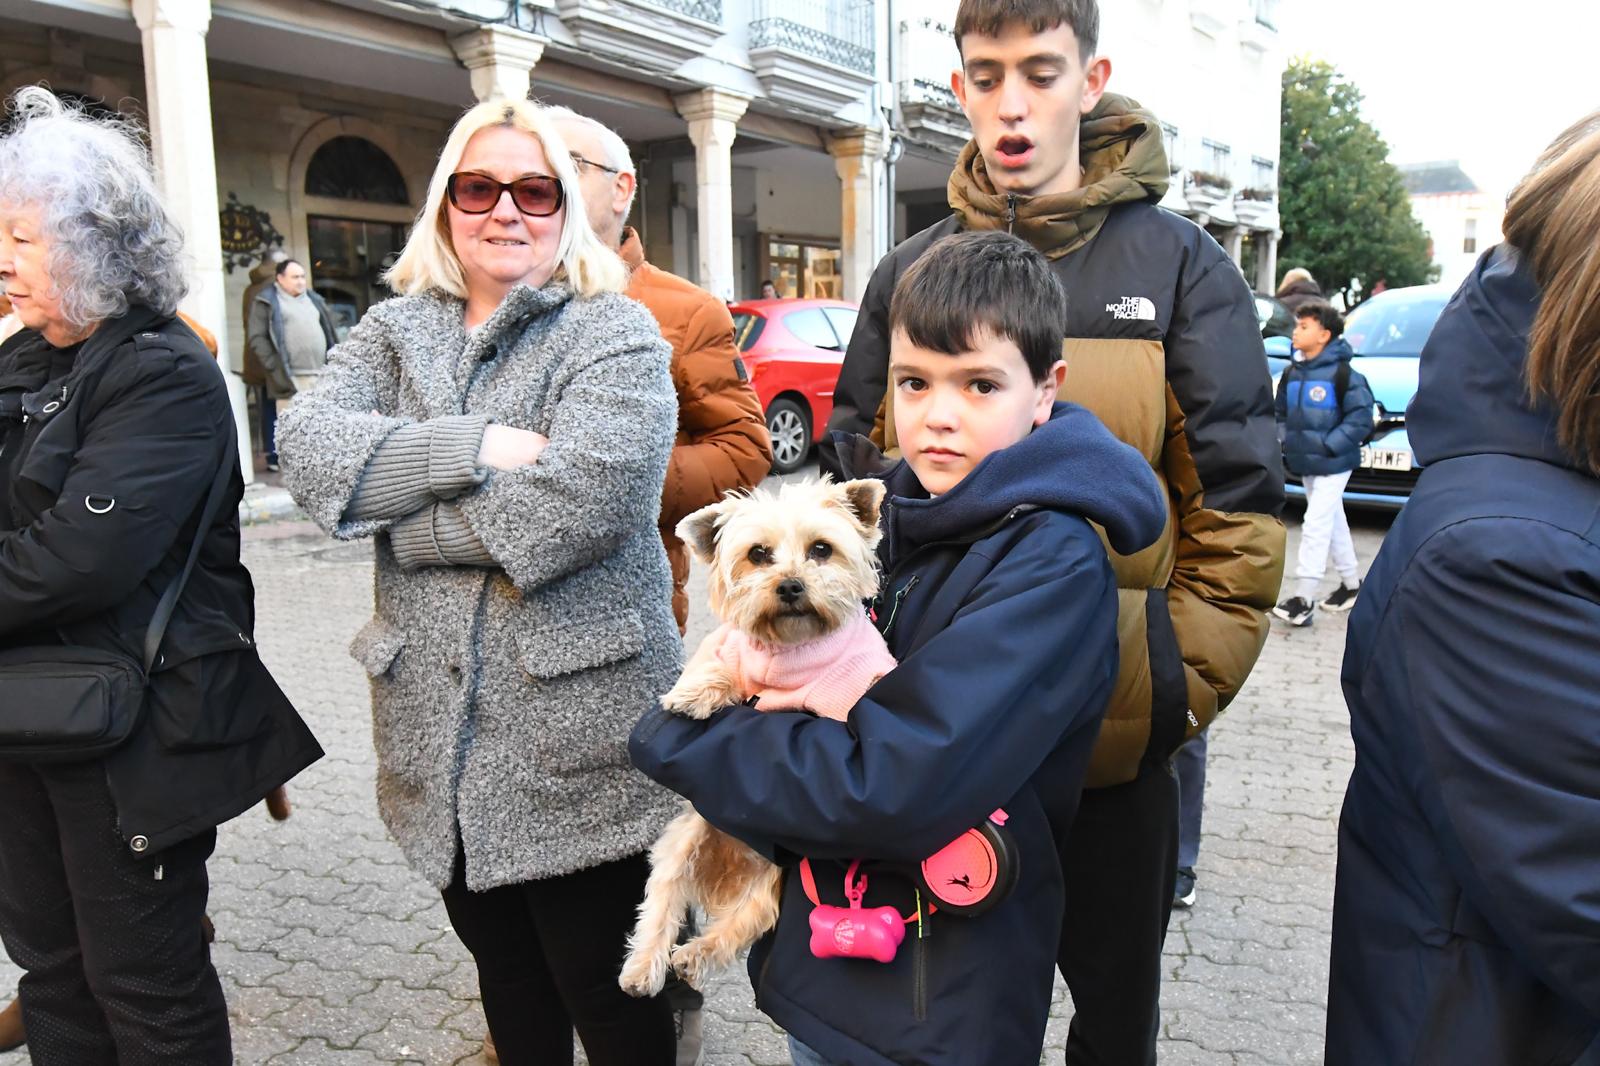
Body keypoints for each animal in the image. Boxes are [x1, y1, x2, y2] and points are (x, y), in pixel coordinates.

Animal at [620, 476, 902, 992]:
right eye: (757, 554)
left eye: (821, 549)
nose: (790, 585)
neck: (793, 651)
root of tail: (727, 869)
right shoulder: (726, 650)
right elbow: (721, 671)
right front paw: (693, 693)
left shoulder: (851, 688)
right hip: (683, 841)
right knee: (661, 902)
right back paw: (644, 967)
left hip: (772, 881)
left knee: (743, 922)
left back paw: (693, 955)